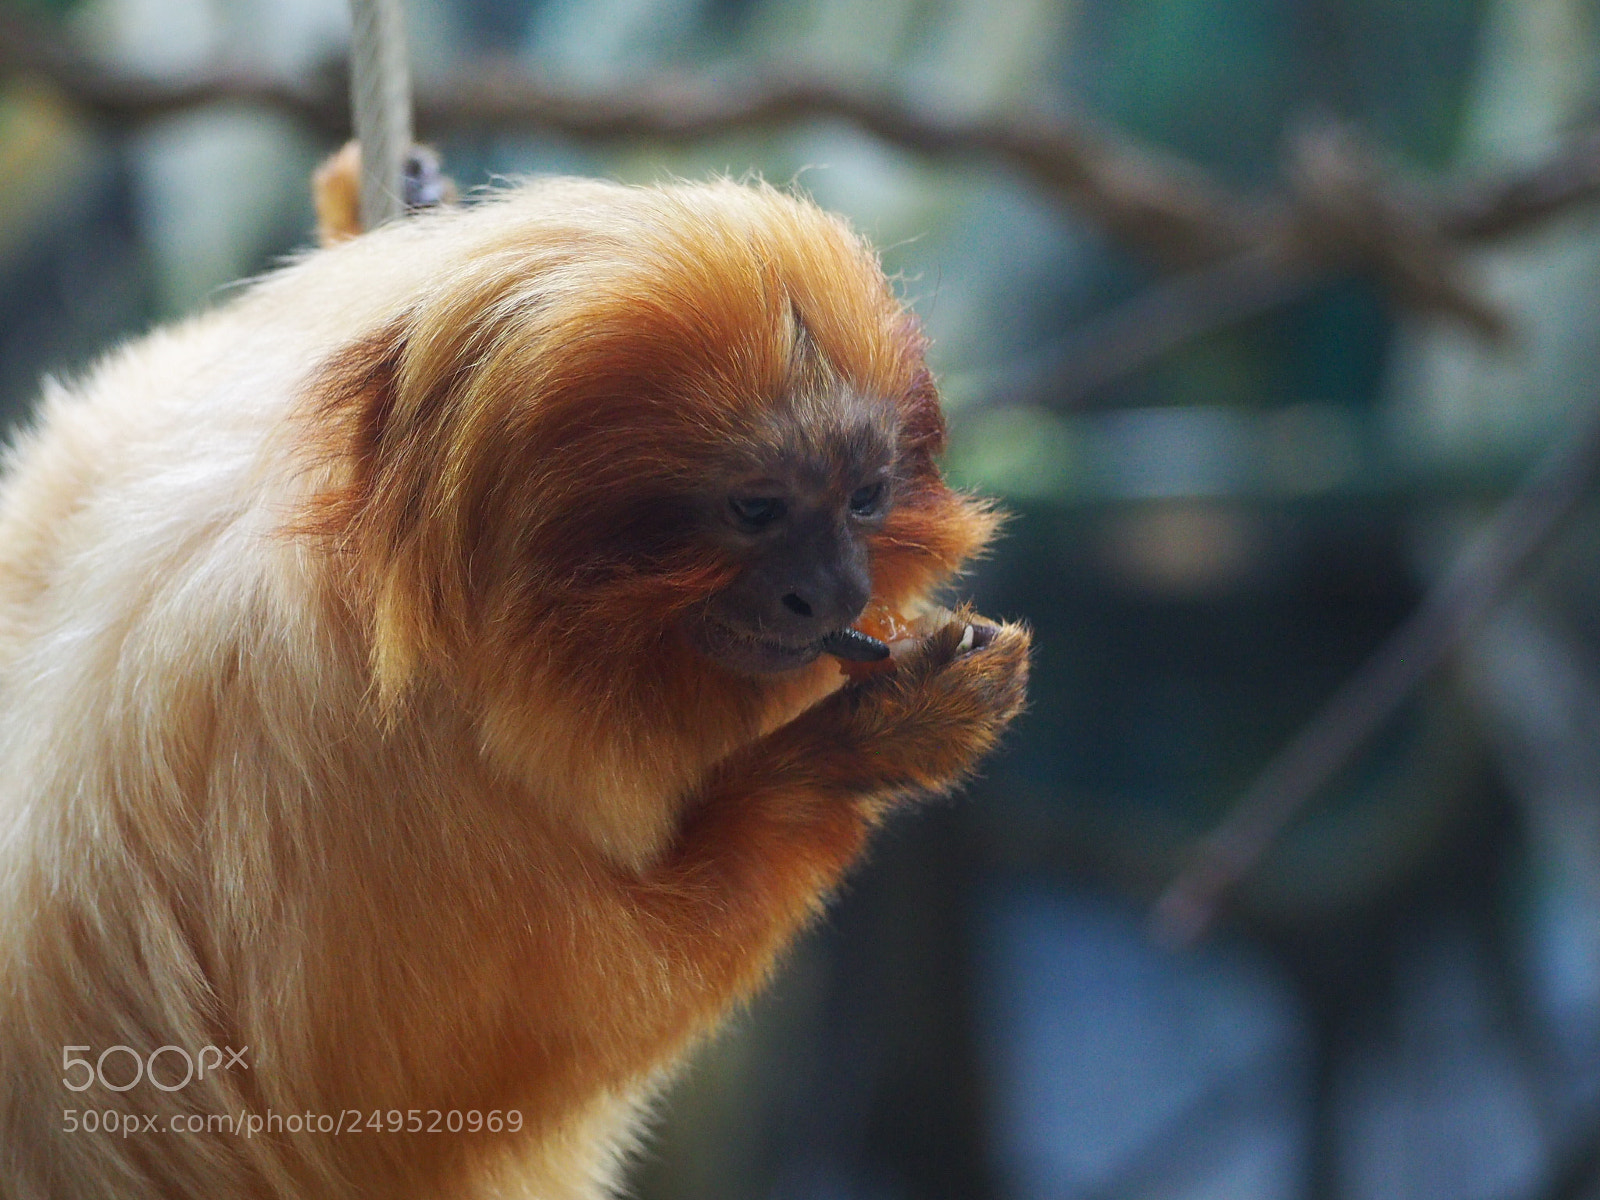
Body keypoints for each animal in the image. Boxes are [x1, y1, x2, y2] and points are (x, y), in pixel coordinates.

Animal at [0, 172, 1029, 1199]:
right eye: (755, 509)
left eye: (866, 499)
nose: (834, 592)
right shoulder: (360, 787)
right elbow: (480, 1066)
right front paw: (865, 741)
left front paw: (378, 203)